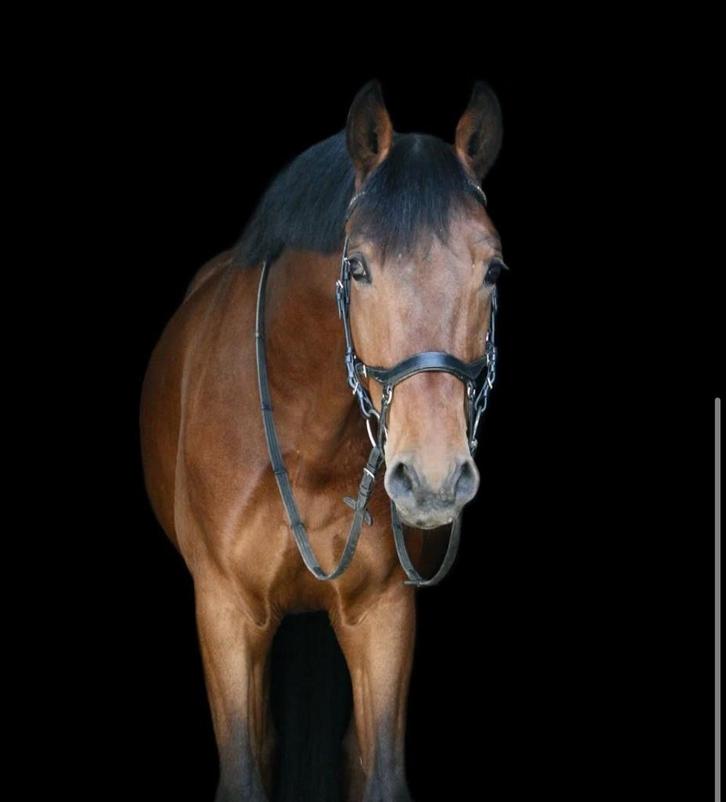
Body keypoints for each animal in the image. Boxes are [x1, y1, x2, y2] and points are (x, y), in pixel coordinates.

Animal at [140, 79, 505, 801]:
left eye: (493, 271)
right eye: (357, 267)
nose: (432, 479)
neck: (306, 435)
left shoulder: (383, 613)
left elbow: (381, 773)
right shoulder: (224, 611)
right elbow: (244, 773)